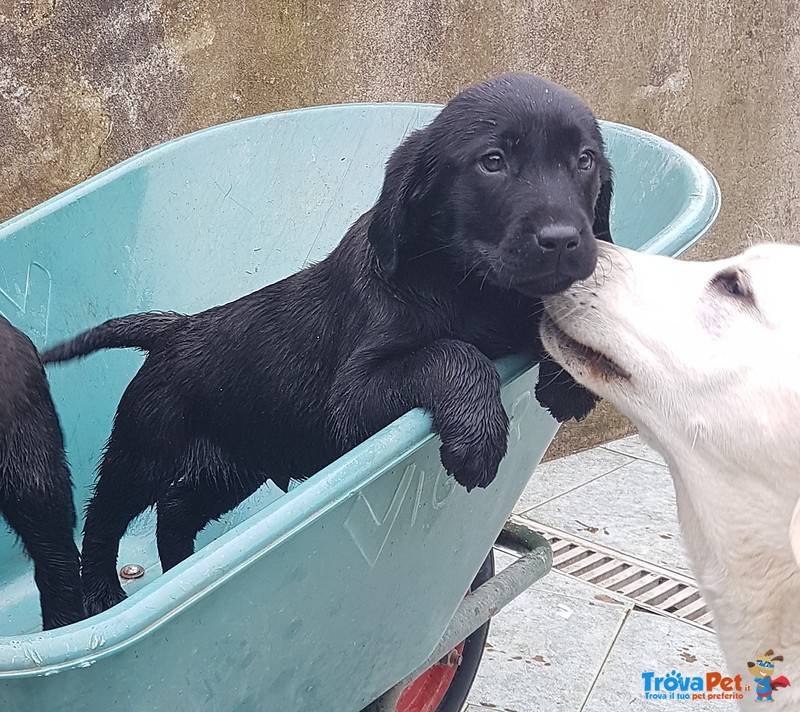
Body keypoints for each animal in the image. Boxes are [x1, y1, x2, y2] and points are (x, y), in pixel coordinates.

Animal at [42, 73, 612, 616]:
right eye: (493, 162)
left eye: (585, 160)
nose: (563, 240)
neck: (466, 289)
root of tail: (175, 328)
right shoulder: (352, 400)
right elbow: (452, 353)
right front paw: (479, 435)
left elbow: (551, 319)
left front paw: (568, 379)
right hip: (145, 449)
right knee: (104, 518)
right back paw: (101, 596)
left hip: (233, 464)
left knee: (177, 509)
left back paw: (183, 569)